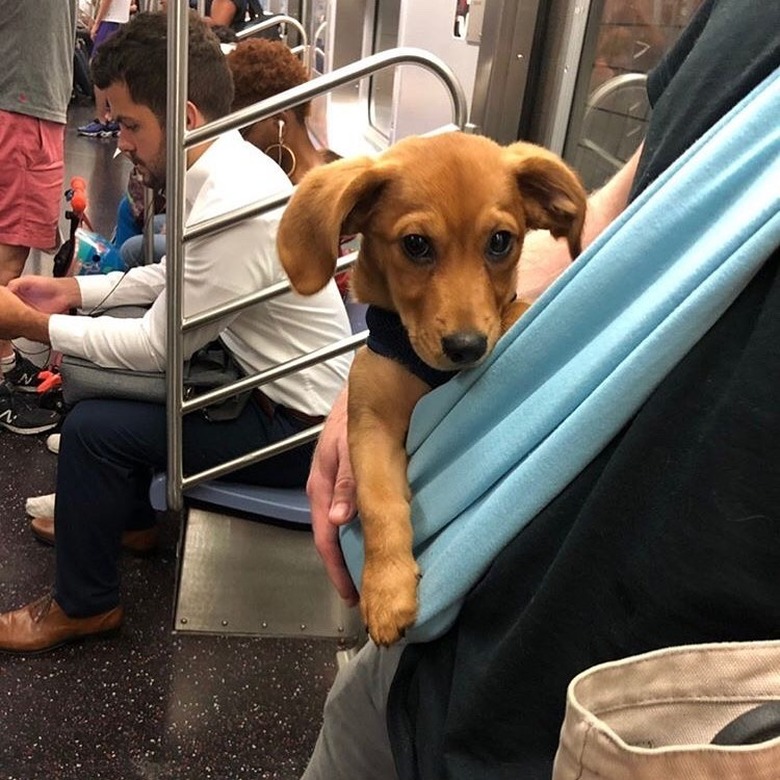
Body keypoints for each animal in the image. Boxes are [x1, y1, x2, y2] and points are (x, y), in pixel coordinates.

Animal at [276, 133, 584, 644]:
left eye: (500, 242)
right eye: (416, 245)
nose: (467, 347)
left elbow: (516, 312)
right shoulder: (370, 425)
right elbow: (379, 504)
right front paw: (387, 587)